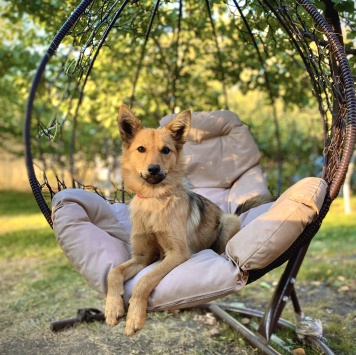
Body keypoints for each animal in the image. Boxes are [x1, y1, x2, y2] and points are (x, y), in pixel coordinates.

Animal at [104, 105, 272, 336]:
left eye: (166, 150)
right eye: (141, 149)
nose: (154, 169)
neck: (155, 200)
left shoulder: (177, 253)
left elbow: (144, 280)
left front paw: (135, 315)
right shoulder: (142, 257)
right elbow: (114, 273)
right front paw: (113, 307)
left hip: (230, 221)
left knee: (222, 248)